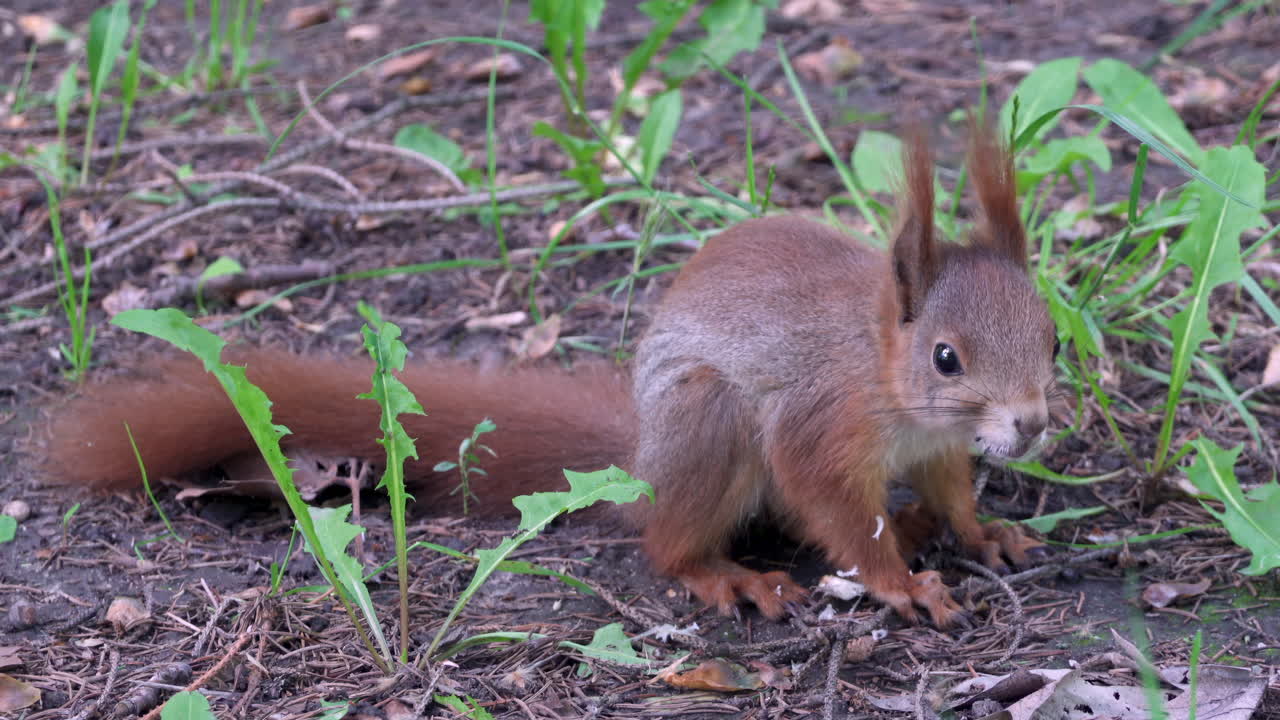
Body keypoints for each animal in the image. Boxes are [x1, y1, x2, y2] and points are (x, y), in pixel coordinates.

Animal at [35, 123, 1057, 628]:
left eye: (1050, 336)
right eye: (946, 356)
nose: (1034, 424)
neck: (890, 373)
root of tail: (640, 460)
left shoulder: (939, 446)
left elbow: (950, 488)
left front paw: (977, 530)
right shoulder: (820, 420)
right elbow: (839, 511)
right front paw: (900, 584)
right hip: (706, 424)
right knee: (669, 542)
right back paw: (725, 576)